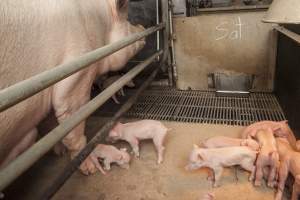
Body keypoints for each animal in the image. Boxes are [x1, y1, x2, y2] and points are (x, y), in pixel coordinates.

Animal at [0, 0, 145, 175]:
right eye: (128, 19)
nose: (143, 27)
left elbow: (54, 125)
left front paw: (59, 152)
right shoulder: (76, 73)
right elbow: (73, 120)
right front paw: (89, 169)